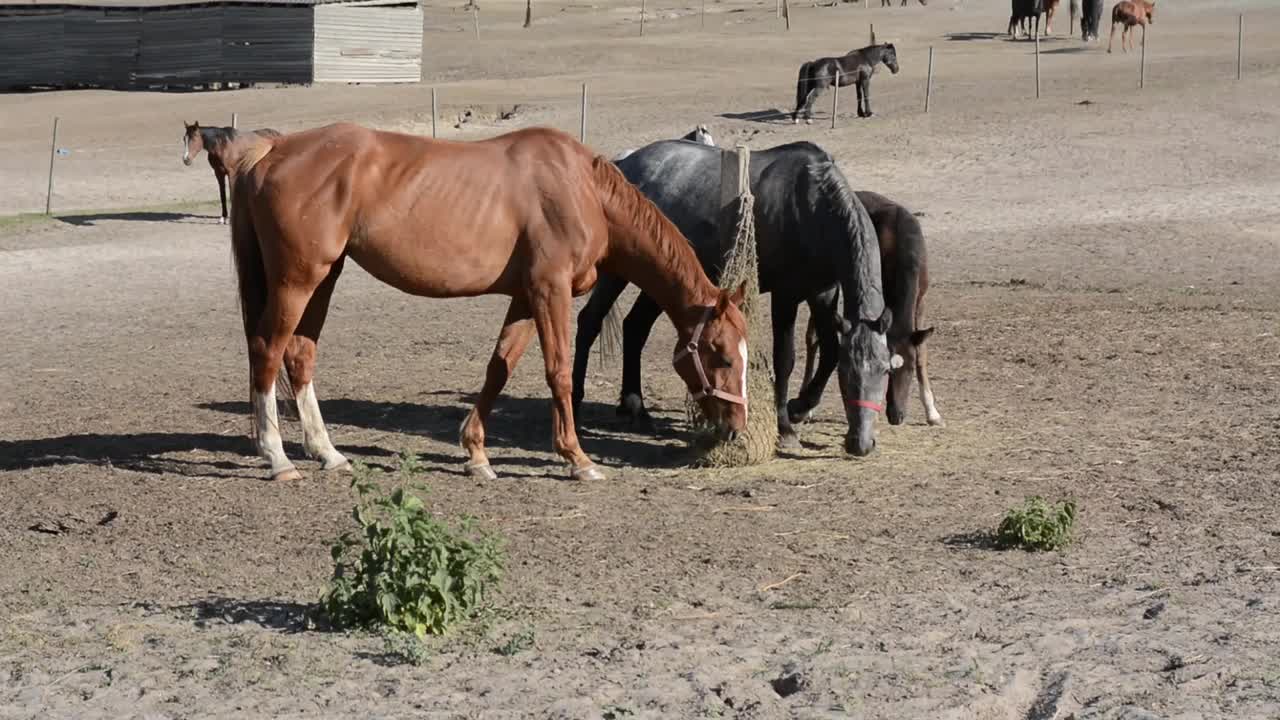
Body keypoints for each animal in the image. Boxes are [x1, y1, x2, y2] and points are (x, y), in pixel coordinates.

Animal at [576, 136, 896, 453]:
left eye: (885, 371)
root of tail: (624, 162)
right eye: (848, 376)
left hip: (659, 279)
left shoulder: (823, 292)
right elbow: (785, 360)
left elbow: (830, 351)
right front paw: (785, 428)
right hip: (616, 275)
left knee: (635, 328)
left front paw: (801, 407)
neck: (810, 208)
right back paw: (579, 399)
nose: (861, 444)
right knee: (589, 321)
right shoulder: (786, 296)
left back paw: (636, 409)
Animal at [793, 189, 947, 425]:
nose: (896, 415)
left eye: (911, 367)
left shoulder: (921, 300)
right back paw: (807, 407)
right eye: (887, 370)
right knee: (813, 336)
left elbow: (922, 350)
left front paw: (933, 413)